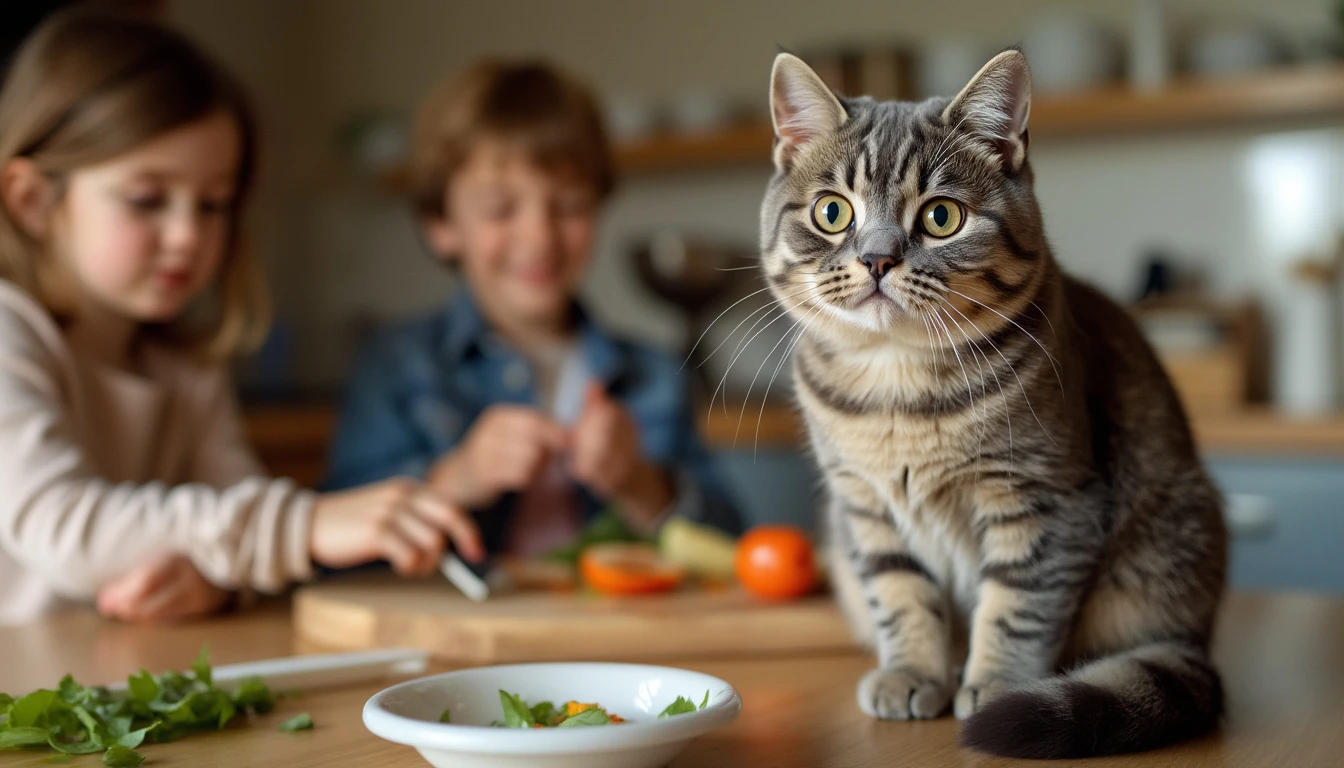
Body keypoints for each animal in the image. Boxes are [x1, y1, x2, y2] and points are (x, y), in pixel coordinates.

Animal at [758, 51, 1231, 758]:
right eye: (833, 213)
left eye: (940, 217)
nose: (877, 258)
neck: (898, 388)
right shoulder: (863, 508)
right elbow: (900, 594)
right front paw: (912, 673)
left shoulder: (1045, 501)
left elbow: (1016, 606)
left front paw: (999, 686)